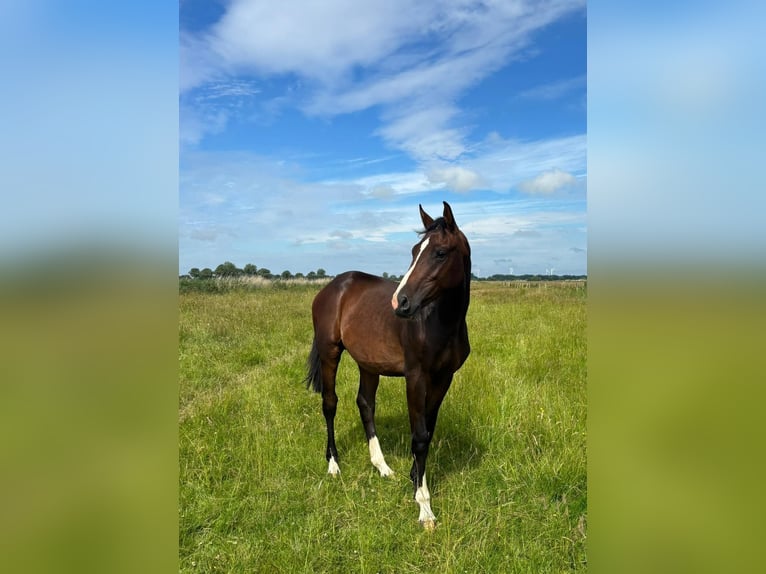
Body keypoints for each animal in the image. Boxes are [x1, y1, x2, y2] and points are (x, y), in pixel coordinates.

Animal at [304, 201, 471, 529]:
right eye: (414, 250)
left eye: (440, 252)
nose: (400, 303)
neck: (440, 324)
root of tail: (333, 287)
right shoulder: (415, 377)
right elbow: (419, 437)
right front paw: (424, 506)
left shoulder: (444, 378)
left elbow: (427, 431)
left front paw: (414, 477)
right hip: (331, 353)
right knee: (330, 404)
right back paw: (333, 464)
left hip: (368, 364)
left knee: (365, 404)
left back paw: (382, 467)